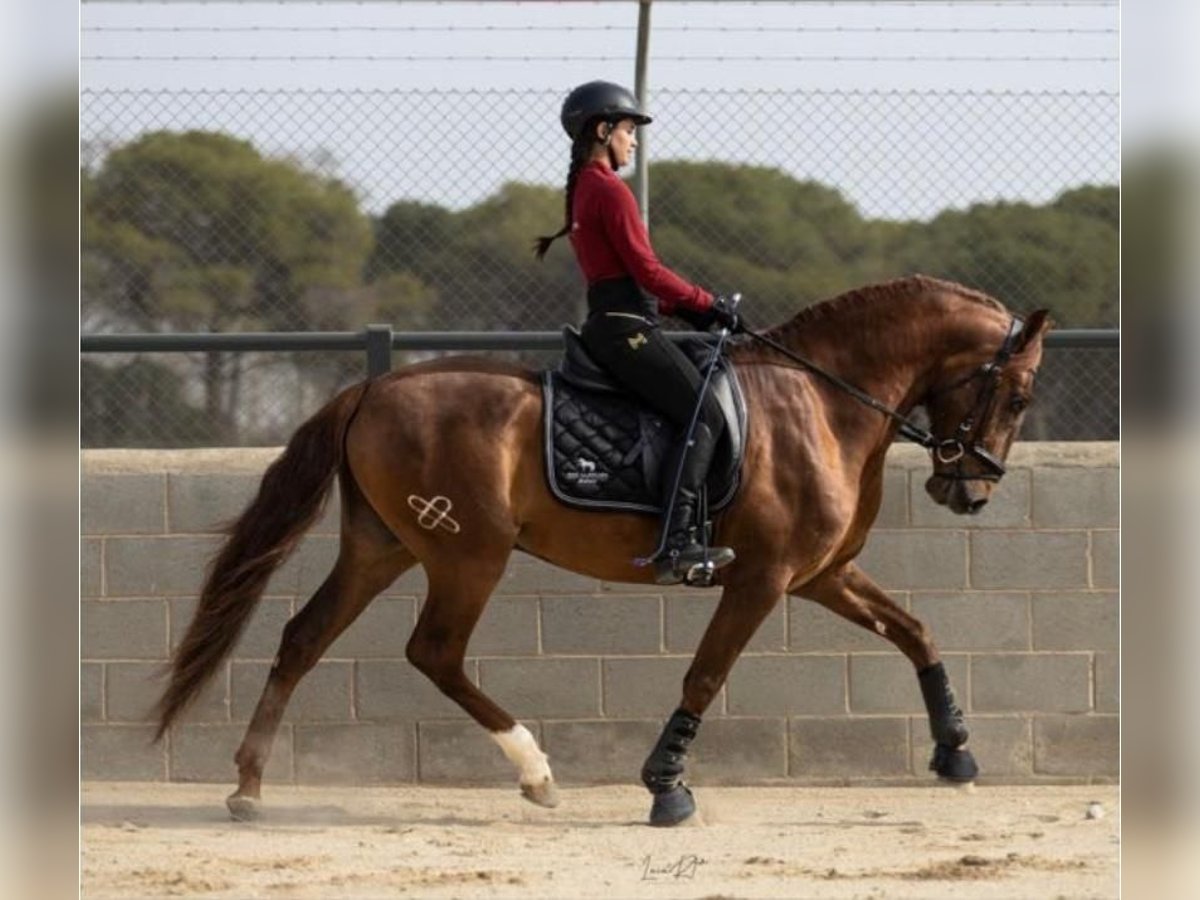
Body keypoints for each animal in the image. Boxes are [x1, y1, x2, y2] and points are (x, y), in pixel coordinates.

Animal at [152, 277, 1051, 830]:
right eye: (1016, 394)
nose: (971, 491)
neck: (824, 401)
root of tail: (371, 387)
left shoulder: (820, 575)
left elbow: (916, 631)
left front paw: (956, 751)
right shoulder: (761, 579)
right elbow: (705, 675)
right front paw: (666, 789)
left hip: (382, 549)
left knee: (304, 637)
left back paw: (248, 787)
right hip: (467, 555)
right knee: (434, 652)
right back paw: (536, 771)